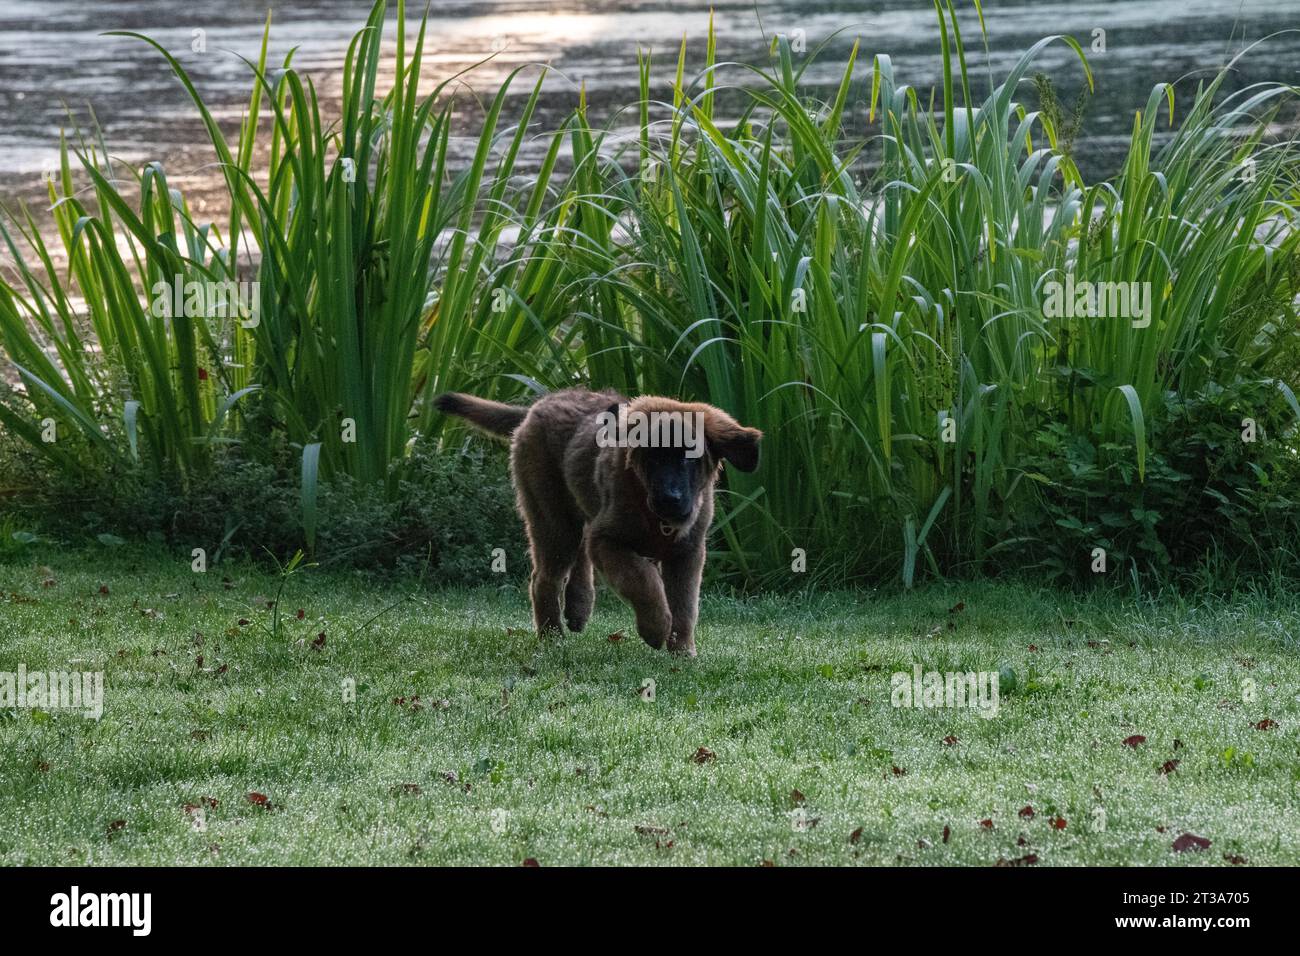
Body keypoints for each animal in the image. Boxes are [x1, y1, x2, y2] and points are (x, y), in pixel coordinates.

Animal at [436, 390, 759, 658]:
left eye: (689, 459)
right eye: (652, 457)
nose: (670, 499)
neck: (655, 517)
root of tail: (540, 403)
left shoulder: (688, 552)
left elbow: (685, 604)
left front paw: (681, 651)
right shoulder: (608, 540)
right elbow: (643, 581)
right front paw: (655, 628)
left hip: (577, 515)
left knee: (579, 557)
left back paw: (578, 608)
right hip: (553, 520)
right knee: (544, 579)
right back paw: (552, 636)